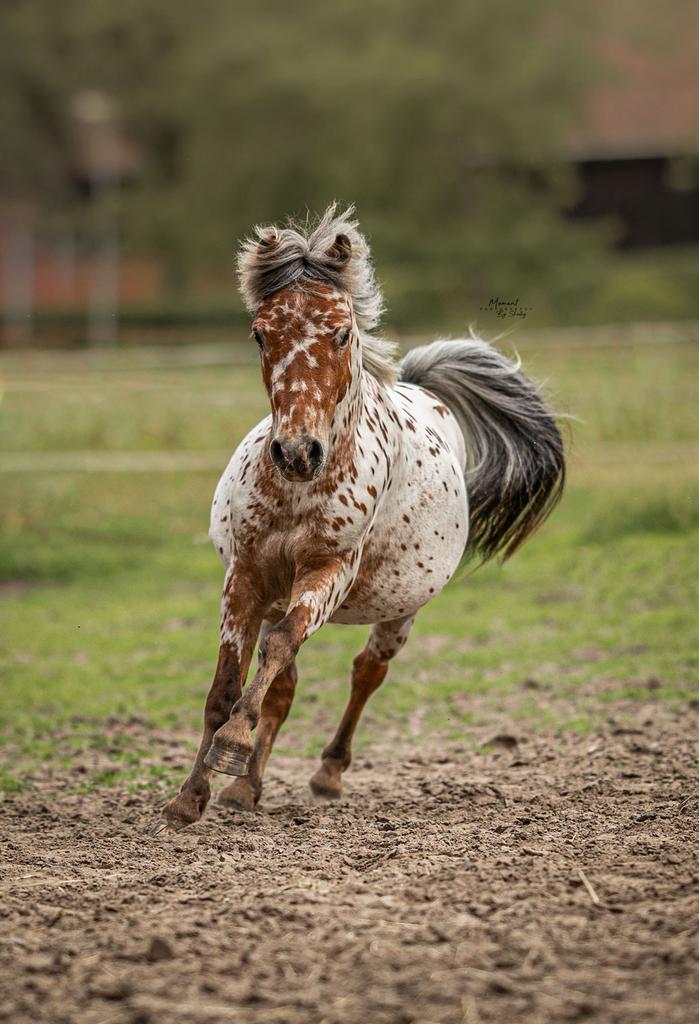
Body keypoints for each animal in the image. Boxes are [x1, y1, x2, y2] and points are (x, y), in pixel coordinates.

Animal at [149, 204, 565, 834]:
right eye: (260, 333)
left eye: (342, 332)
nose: (298, 452)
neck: (299, 493)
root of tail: (426, 391)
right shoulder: (246, 576)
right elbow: (226, 687)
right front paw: (191, 796)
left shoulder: (330, 572)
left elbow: (278, 657)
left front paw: (232, 747)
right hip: (282, 596)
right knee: (283, 683)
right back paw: (246, 789)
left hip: (401, 609)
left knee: (365, 671)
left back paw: (327, 772)